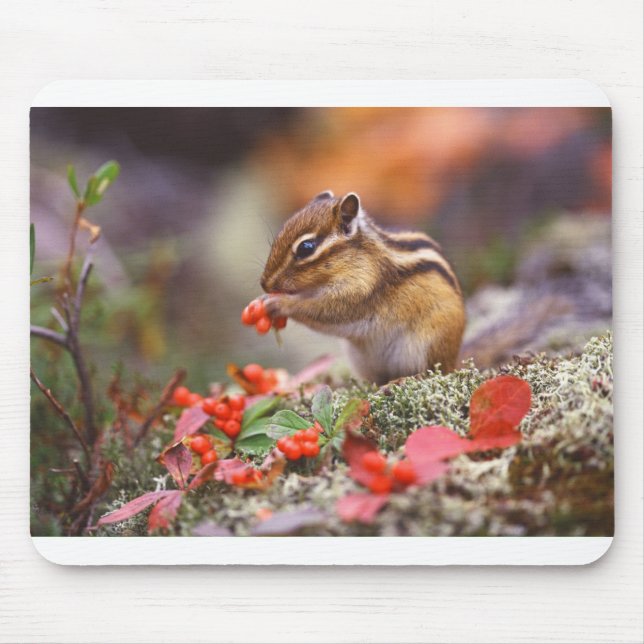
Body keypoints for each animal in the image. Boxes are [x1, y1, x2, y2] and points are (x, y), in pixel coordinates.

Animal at [260, 191, 465, 385]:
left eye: (306, 247)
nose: (264, 284)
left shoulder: (361, 291)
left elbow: (324, 310)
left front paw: (280, 303)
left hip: (427, 345)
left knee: (434, 373)